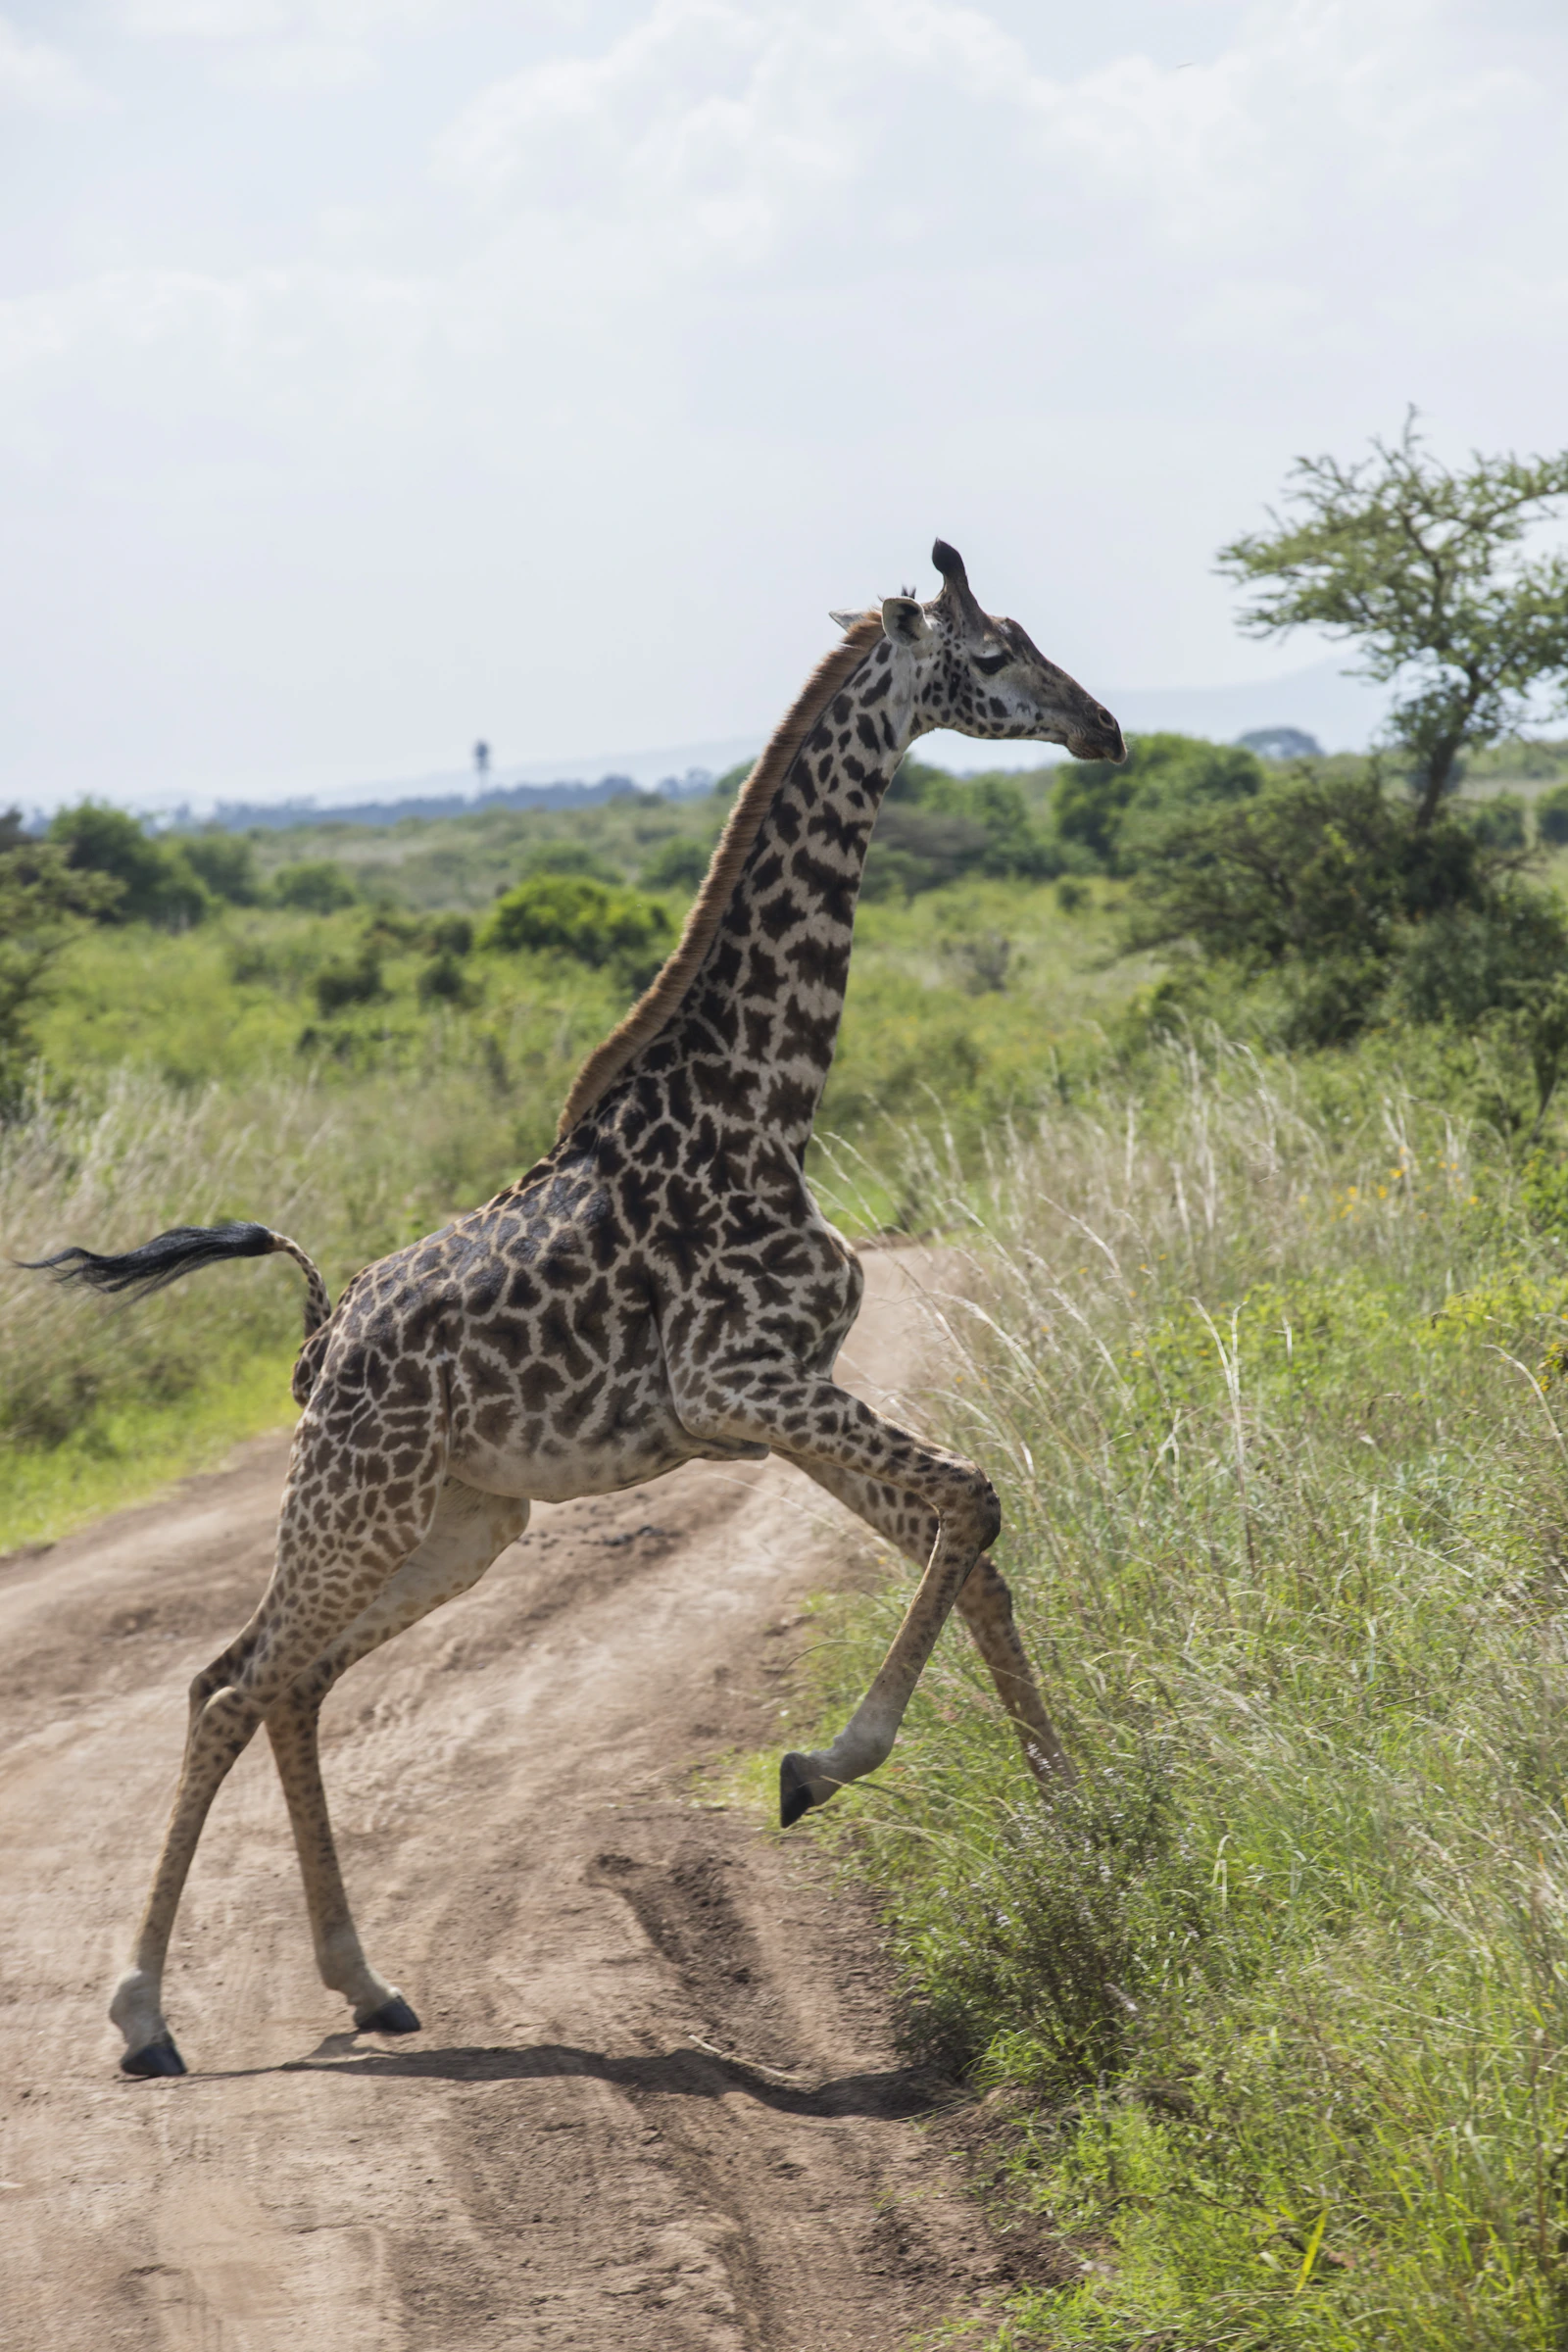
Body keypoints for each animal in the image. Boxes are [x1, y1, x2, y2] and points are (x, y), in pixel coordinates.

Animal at [32, 540, 1124, 2078]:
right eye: (993, 655)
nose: (1106, 730)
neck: (767, 1106)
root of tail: (319, 1340)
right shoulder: (744, 1381)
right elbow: (974, 1501)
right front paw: (820, 1771)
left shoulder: (777, 1401)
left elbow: (967, 1546)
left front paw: (1079, 1830)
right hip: (359, 1496)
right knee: (225, 1683)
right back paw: (143, 2015)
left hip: (464, 1521)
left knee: (288, 1684)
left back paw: (367, 1986)